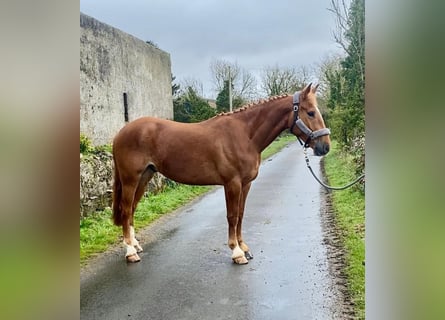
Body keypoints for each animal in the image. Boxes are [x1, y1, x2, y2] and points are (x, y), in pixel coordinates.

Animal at [111, 84, 330, 264]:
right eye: (311, 112)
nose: (325, 147)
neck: (245, 135)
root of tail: (121, 132)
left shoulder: (246, 184)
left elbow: (240, 214)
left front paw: (244, 247)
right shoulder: (232, 183)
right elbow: (232, 216)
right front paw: (237, 253)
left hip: (144, 177)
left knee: (132, 209)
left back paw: (135, 244)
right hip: (130, 179)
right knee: (126, 210)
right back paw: (130, 252)